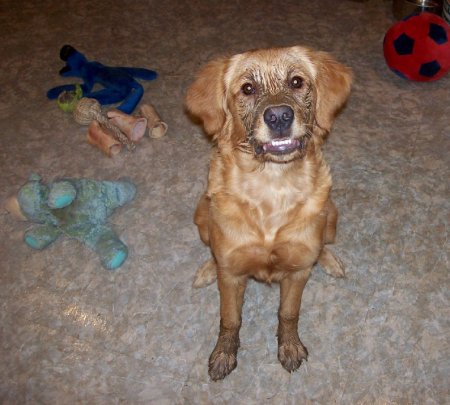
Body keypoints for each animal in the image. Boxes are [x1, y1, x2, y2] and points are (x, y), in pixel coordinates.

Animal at [185, 45, 352, 380]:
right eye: (248, 88)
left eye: (297, 82)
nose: (278, 116)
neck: (272, 188)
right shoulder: (232, 273)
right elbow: (230, 319)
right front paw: (224, 354)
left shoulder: (298, 270)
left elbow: (289, 313)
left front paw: (289, 347)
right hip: (201, 216)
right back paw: (207, 270)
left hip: (332, 215)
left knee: (324, 245)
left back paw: (331, 261)